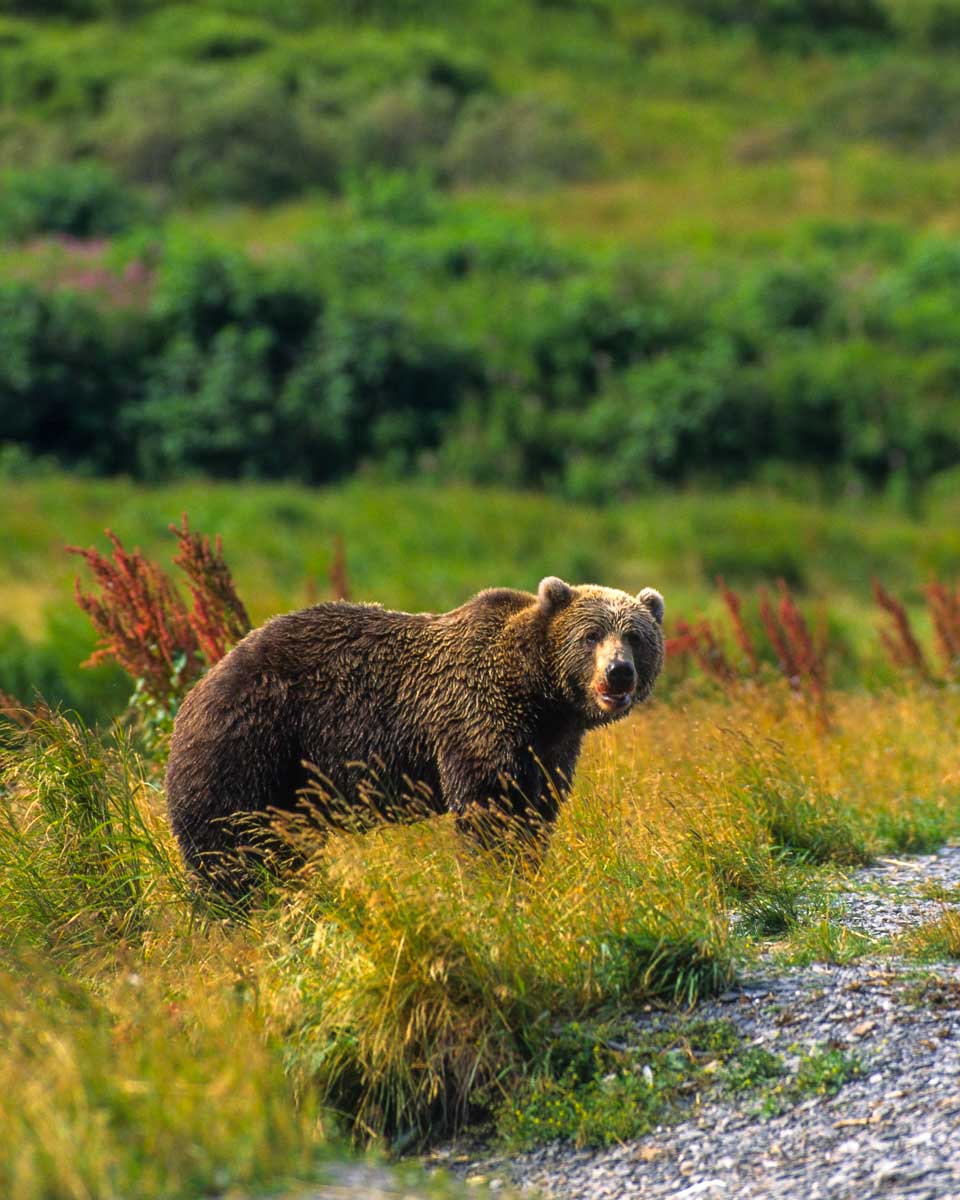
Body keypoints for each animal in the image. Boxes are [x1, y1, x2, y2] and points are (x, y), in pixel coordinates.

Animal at [164, 576, 665, 892]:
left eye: (635, 636)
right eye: (591, 635)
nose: (618, 672)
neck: (537, 694)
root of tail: (195, 689)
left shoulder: (549, 745)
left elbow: (535, 810)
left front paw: (526, 870)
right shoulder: (476, 719)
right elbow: (489, 807)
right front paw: (492, 879)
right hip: (251, 742)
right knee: (229, 839)